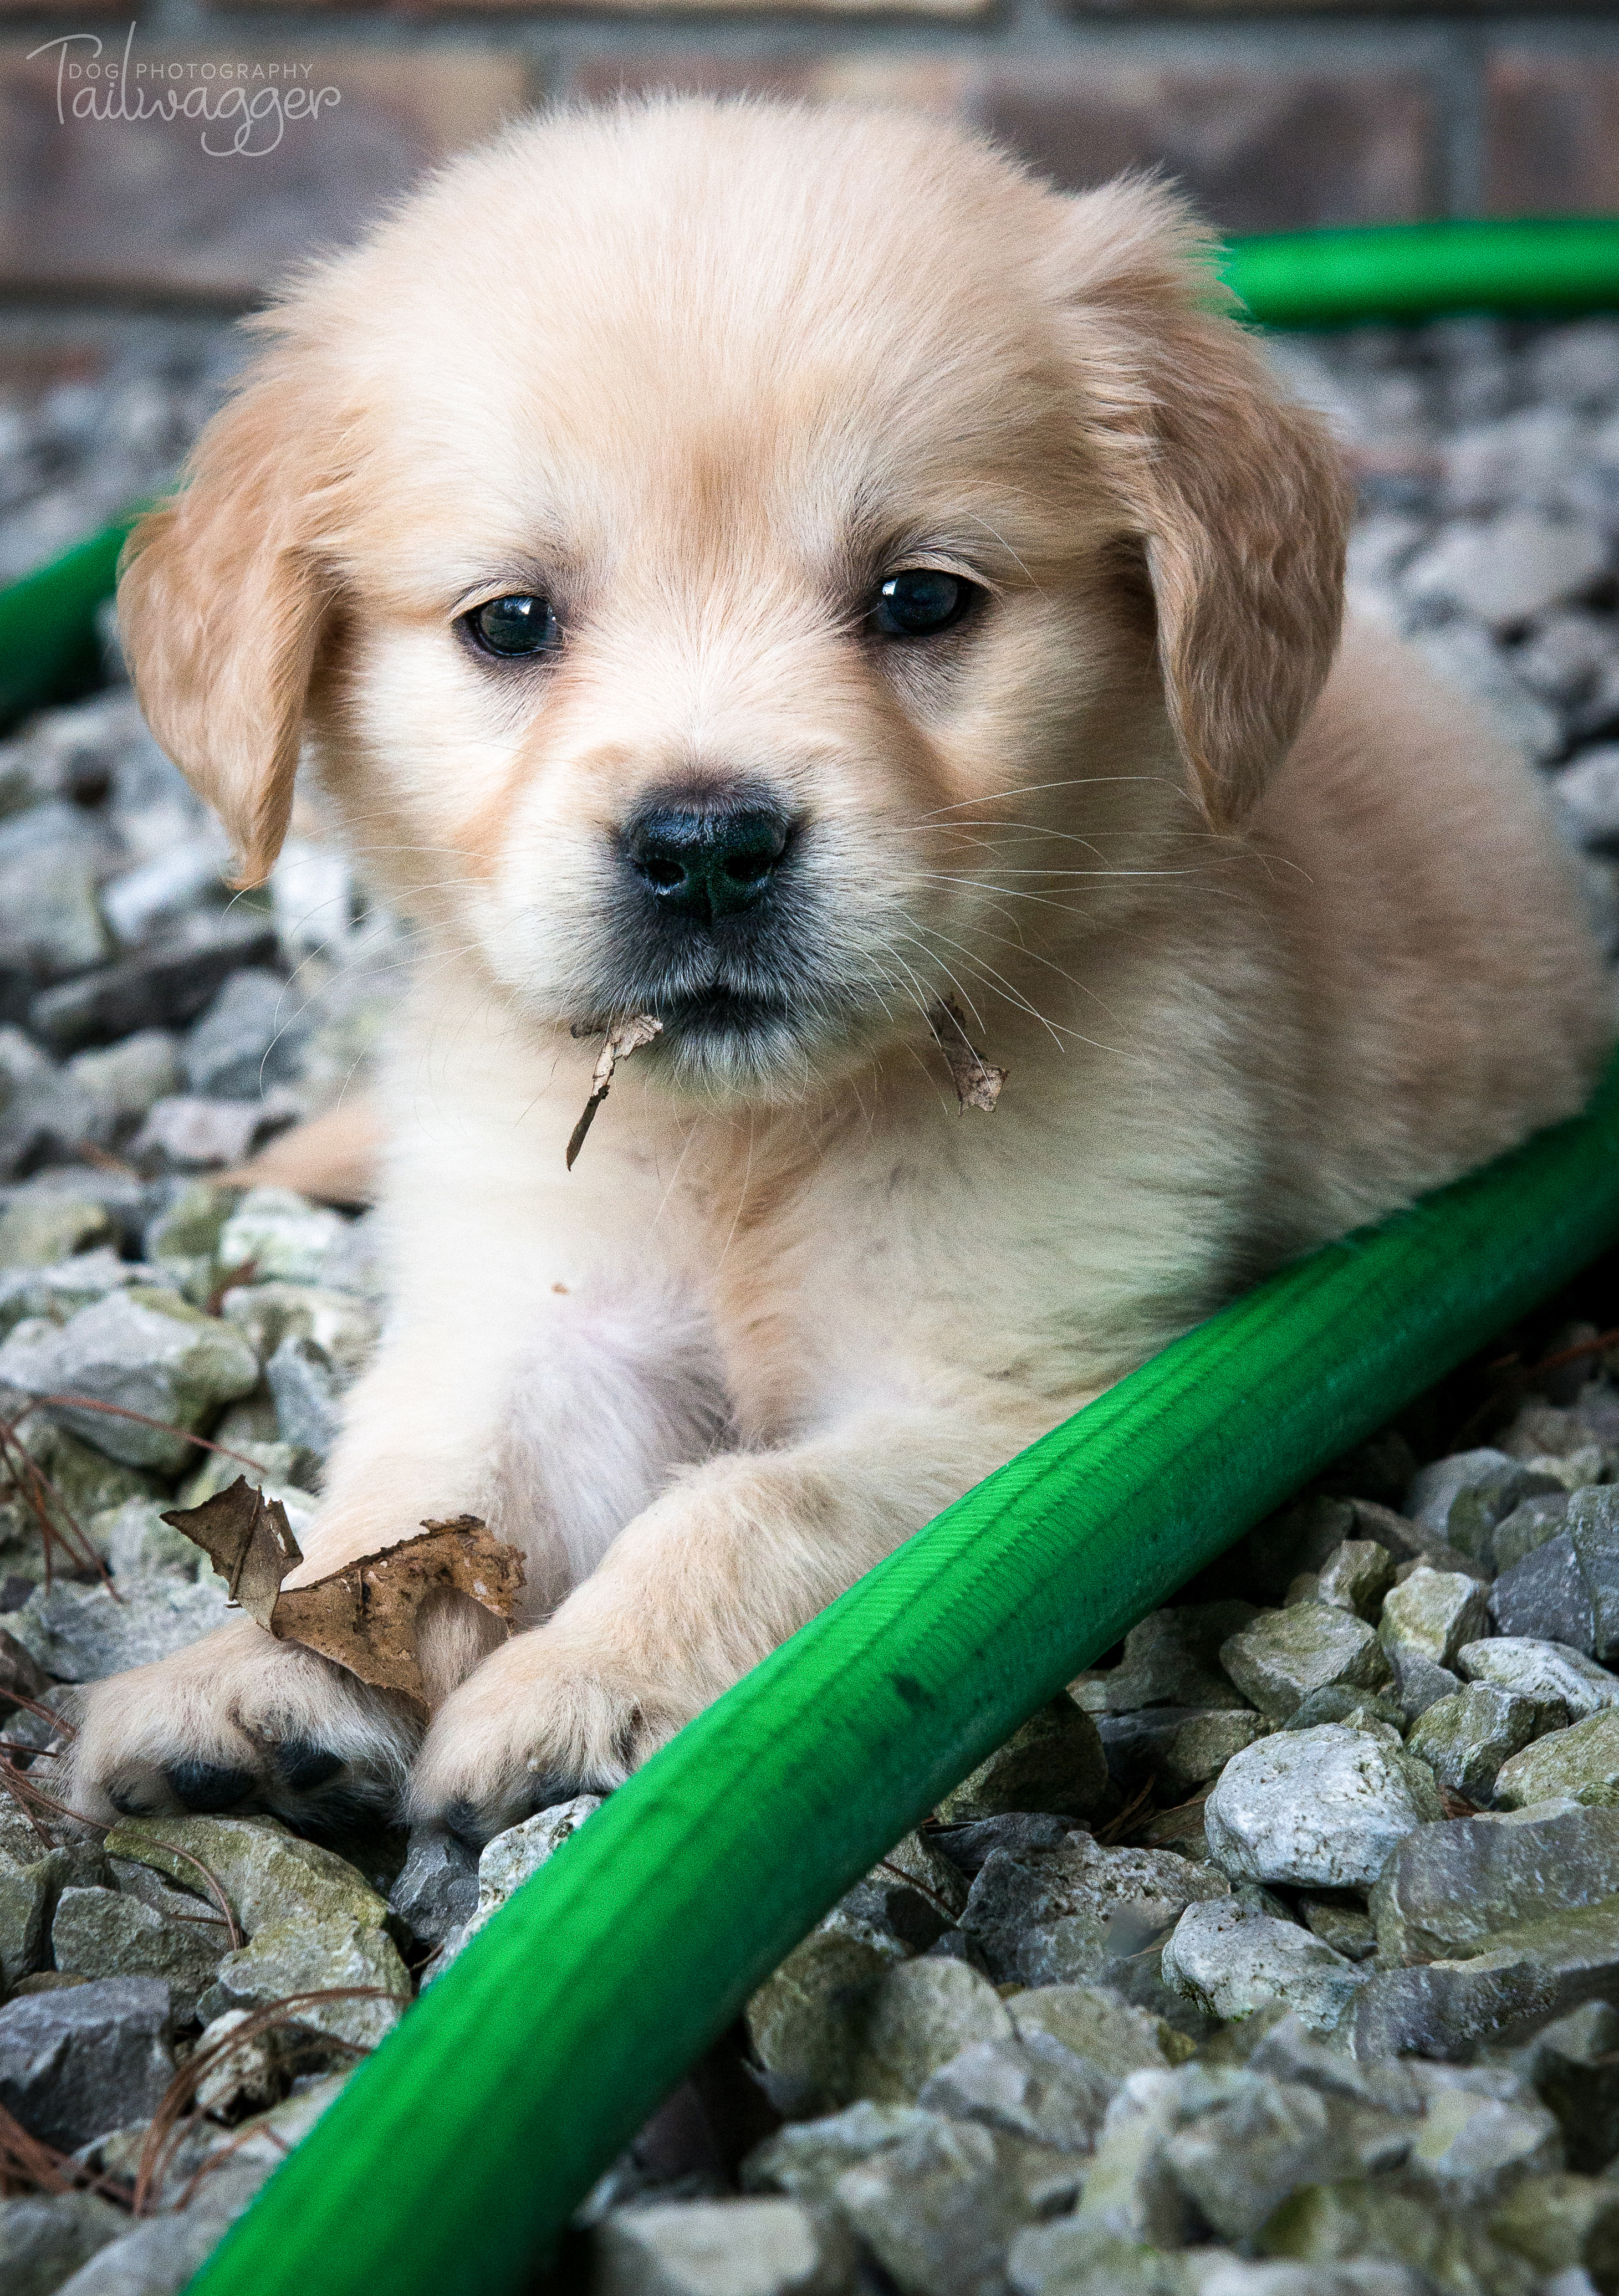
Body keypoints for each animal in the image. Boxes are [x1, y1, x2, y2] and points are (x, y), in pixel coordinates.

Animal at [66, 99, 1607, 1845]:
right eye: (510, 621)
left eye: (920, 597)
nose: (706, 845)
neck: (759, 1130)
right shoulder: (547, 1306)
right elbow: (417, 1504)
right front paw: (263, 1677)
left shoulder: (1024, 1401)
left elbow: (758, 1497)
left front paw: (578, 1682)